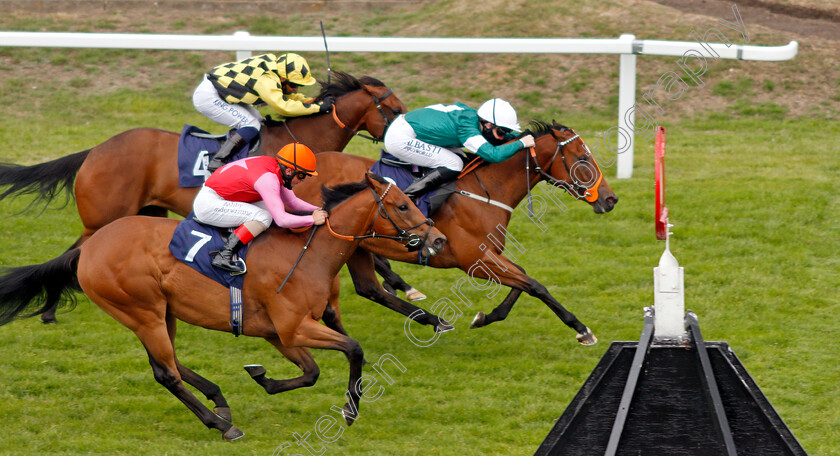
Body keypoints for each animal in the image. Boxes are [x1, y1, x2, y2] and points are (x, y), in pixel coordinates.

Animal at [0, 71, 410, 322]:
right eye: (393, 109)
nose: (402, 143)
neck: (299, 145)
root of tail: (94, 151)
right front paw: (400, 281)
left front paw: (400, 282)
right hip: (104, 217)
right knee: (73, 252)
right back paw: (50, 308)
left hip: (144, 212)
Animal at [0, 173, 446, 440]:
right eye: (403, 205)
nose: (438, 239)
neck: (309, 253)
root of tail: (88, 248)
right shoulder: (293, 326)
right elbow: (352, 349)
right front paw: (351, 411)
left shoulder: (278, 333)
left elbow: (311, 372)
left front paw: (263, 377)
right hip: (142, 312)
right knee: (166, 372)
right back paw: (220, 424)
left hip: (161, 312)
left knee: (170, 364)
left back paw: (220, 401)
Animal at [294, 119, 616, 344]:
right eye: (583, 159)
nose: (611, 199)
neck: (484, 192)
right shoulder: (474, 260)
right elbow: (535, 285)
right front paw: (581, 329)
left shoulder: (489, 255)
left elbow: (523, 279)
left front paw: (485, 317)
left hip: (356, 247)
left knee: (369, 289)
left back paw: (432, 318)